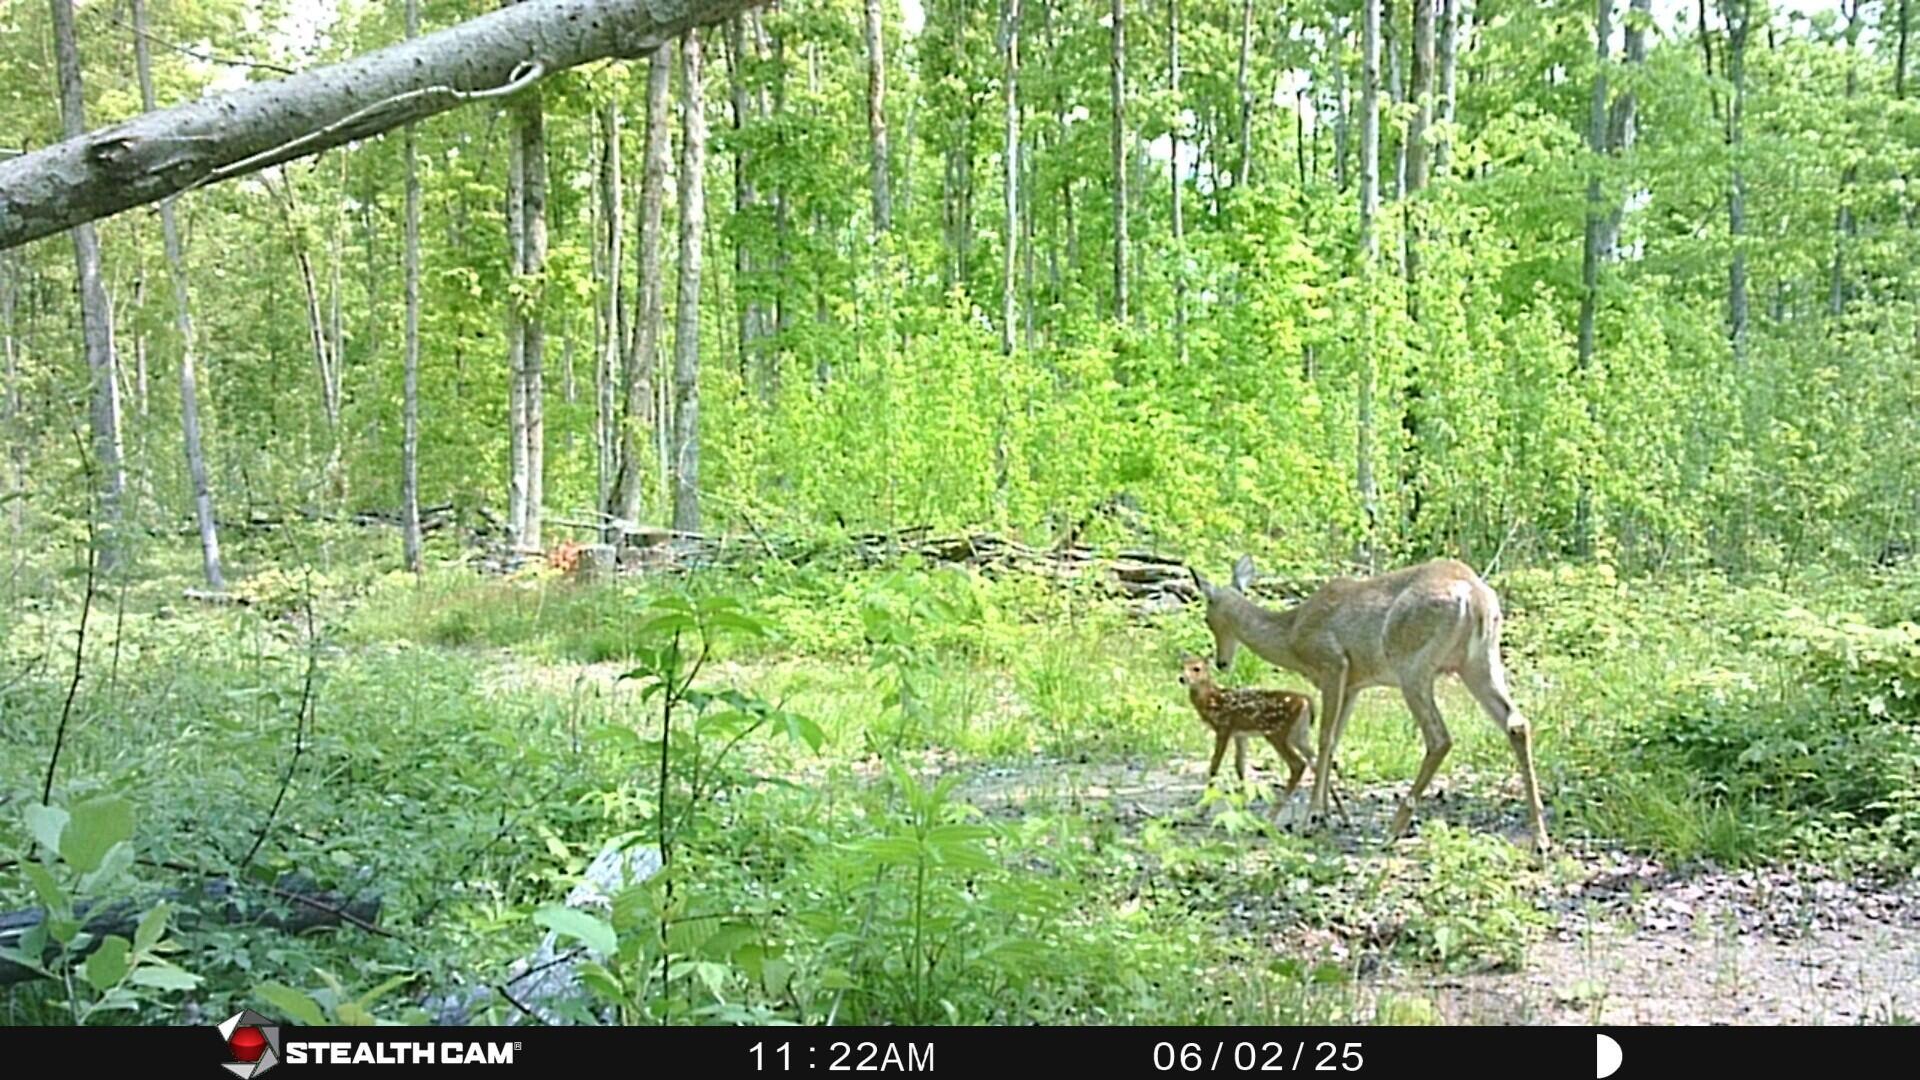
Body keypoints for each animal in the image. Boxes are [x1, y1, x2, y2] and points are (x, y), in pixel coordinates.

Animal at [1190, 555, 1549, 855]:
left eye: (1207, 615)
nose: (1221, 662)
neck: (1291, 634)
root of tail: (1473, 595)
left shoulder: (1333, 664)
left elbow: (1324, 740)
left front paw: (1313, 816)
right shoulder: (1355, 684)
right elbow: (1334, 742)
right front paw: (1331, 814)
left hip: (1413, 666)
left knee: (1439, 738)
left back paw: (1393, 831)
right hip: (1479, 662)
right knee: (1517, 724)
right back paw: (1540, 838)